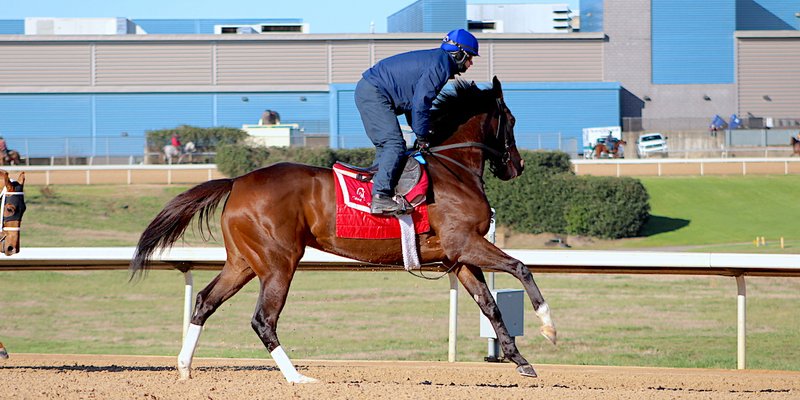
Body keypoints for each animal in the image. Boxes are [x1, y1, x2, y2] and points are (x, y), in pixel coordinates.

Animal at [131, 76, 556, 382]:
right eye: (511, 121)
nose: (517, 166)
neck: (453, 169)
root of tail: (237, 181)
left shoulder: (459, 256)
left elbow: (490, 305)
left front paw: (519, 359)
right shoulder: (466, 243)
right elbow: (521, 268)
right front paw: (548, 326)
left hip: (244, 261)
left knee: (205, 301)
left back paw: (185, 367)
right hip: (279, 262)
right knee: (263, 320)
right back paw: (296, 378)